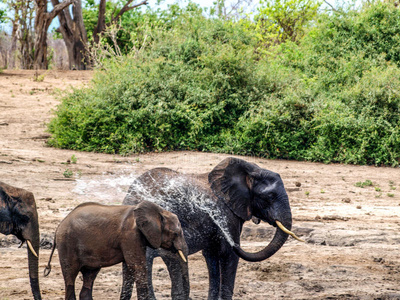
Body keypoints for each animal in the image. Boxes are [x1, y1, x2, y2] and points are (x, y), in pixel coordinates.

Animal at [43, 200, 188, 300]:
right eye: (176, 233)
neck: (159, 211)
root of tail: (59, 225)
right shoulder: (130, 235)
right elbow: (137, 266)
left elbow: (130, 268)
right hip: (67, 244)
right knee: (70, 277)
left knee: (89, 276)